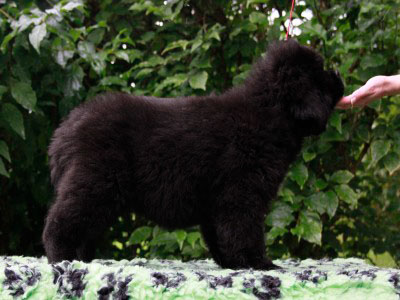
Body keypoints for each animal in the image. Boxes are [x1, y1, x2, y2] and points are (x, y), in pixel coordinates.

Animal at [43, 38, 344, 270]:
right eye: (321, 74)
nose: (339, 75)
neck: (270, 111)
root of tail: (64, 130)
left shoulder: (218, 200)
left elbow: (220, 234)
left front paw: (231, 263)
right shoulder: (241, 192)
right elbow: (244, 230)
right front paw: (258, 263)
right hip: (96, 181)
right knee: (61, 222)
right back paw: (63, 259)